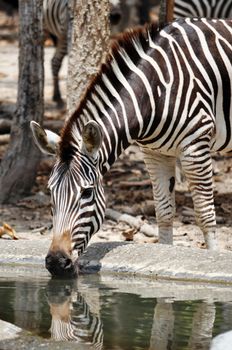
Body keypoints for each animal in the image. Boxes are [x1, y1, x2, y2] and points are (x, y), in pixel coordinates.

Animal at [30, 18, 232, 276]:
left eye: (86, 193)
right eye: (50, 192)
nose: (56, 262)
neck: (156, 90)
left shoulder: (195, 146)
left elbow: (205, 216)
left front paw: (212, 259)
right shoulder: (154, 153)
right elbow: (164, 213)